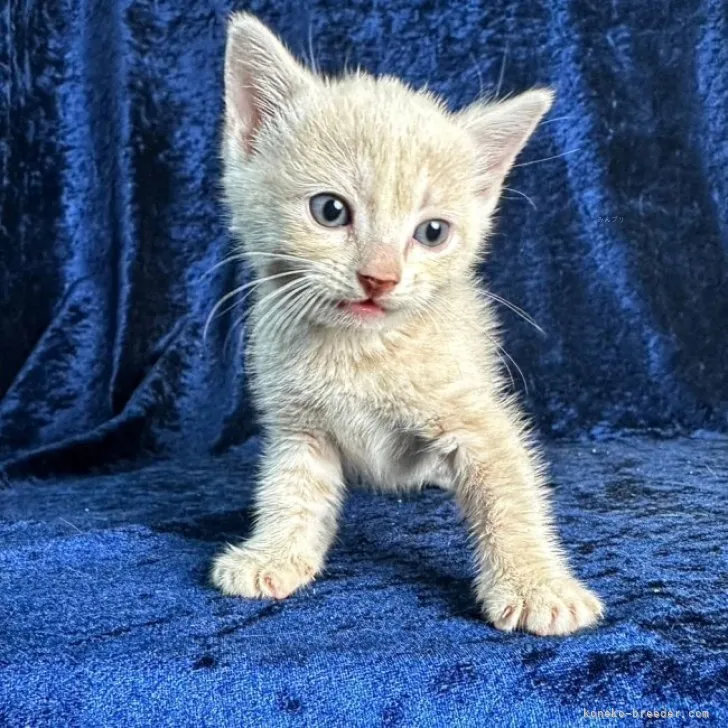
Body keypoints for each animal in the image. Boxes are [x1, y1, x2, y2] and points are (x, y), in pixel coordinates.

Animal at [209, 12, 604, 636]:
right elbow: (292, 487)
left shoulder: (477, 415)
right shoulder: (299, 426)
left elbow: (512, 494)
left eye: (432, 232)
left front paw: (536, 586)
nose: (380, 278)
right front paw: (275, 553)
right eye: (330, 211)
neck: (360, 351)